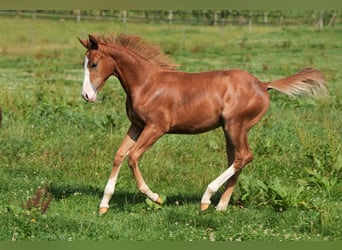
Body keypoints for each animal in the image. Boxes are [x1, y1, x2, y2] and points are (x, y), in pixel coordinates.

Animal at [79, 34, 328, 216]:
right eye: (84, 64)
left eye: (94, 64)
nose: (86, 96)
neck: (146, 84)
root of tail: (263, 84)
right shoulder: (136, 126)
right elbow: (119, 156)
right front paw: (103, 205)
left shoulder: (156, 128)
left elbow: (133, 158)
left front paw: (156, 197)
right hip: (230, 130)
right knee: (237, 159)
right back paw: (221, 205)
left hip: (235, 125)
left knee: (244, 156)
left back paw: (207, 198)